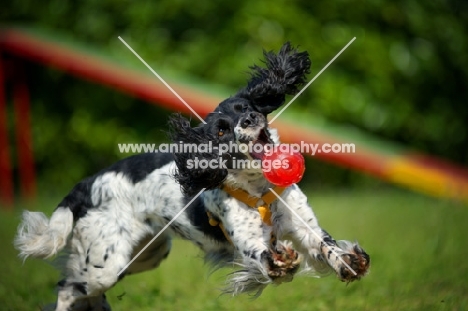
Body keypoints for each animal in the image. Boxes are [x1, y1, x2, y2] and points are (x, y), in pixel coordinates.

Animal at [14, 42, 372, 310]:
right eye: (222, 130)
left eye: (246, 107)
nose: (251, 119)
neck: (258, 188)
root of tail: (87, 184)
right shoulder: (247, 243)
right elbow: (266, 258)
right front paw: (282, 259)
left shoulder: (303, 223)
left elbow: (325, 246)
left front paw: (350, 262)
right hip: (106, 261)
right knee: (69, 287)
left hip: (145, 254)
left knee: (88, 292)